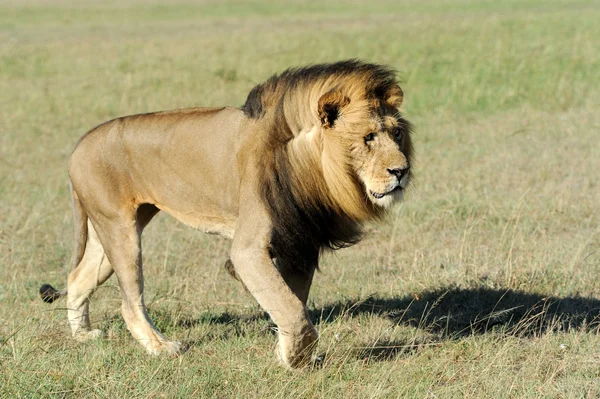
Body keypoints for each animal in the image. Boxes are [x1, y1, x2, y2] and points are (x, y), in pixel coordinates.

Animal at [38, 59, 412, 368]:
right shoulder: (249, 248)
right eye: (368, 137)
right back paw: (162, 348)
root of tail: (79, 145)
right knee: (129, 303)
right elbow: (291, 309)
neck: (312, 170)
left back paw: (83, 336)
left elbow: (291, 303)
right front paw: (296, 358)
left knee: (78, 277)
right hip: (120, 231)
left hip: (110, 226)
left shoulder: (300, 242)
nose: (401, 171)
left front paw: (288, 353)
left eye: (396, 133)